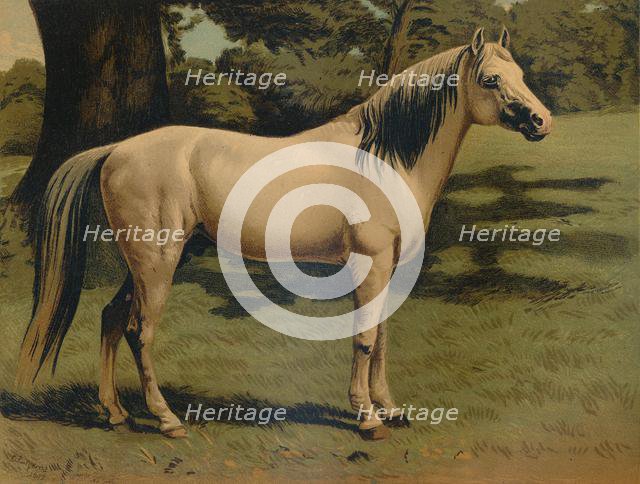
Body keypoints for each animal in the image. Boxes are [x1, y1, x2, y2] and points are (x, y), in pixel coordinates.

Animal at [16, 27, 551, 439]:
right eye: (491, 79)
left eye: (522, 77)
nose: (541, 121)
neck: (381, 157)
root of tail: (115, 150)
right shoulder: (371, 262)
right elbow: (363, 338)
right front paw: (367, 418)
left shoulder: (391, 267)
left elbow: (380, 336)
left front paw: (391, 410)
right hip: (156, 263)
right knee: (138, 331)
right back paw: (167, 421)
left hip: (153, 261)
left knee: (110, 319)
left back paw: (115, 414)